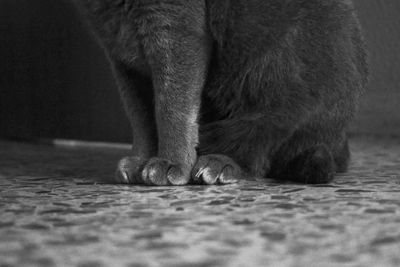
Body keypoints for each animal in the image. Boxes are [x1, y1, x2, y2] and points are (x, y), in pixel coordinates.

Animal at [72, 0, 368, 185]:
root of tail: (340, 143)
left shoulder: (174, 28)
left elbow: (171, 108)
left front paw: (171, 163)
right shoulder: (121, 53)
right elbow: (140, 116)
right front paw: (139, 163)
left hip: (277, 68)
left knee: (260, 150)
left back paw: (217, 166)